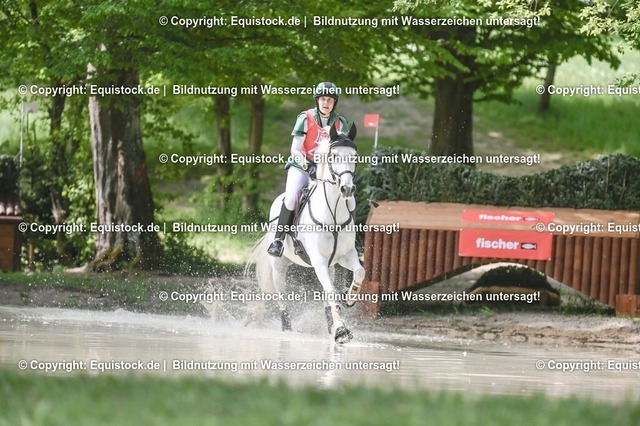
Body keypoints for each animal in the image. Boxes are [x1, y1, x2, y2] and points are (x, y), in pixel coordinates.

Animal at [248, 124, 365, 343]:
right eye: (333, 156)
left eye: (354, 156)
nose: (347, 189)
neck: (333, 212)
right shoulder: (318, 259)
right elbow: (331, 292)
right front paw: (341, 331)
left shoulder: (344, 255)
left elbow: (360, 272)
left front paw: (351, 297)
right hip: (280, 265)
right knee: (282, 295)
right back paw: (287, 328)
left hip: (331, 266)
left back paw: (330, 325)